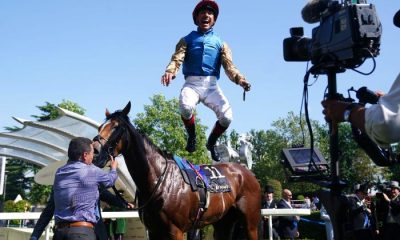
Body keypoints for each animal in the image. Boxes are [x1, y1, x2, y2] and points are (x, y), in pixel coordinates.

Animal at [92, 102, 260, 239]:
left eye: (115, 127)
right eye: (100, 127)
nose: (95, 152)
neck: (158, 180)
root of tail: (246, 172)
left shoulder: (176, 231)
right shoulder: (154, 231)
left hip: (250, 223)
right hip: (223, 222)